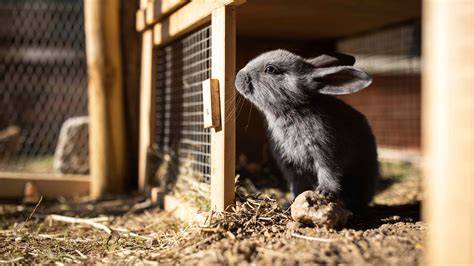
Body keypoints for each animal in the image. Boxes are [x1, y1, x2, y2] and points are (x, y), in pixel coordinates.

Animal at [235, 50, 380, 212]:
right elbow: (298, 187)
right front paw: (292, 203)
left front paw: (324, 192)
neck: (292, 110)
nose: (238, 77)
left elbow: (329, 174)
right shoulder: (292, 167)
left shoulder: (326, 154)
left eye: (271, 69)